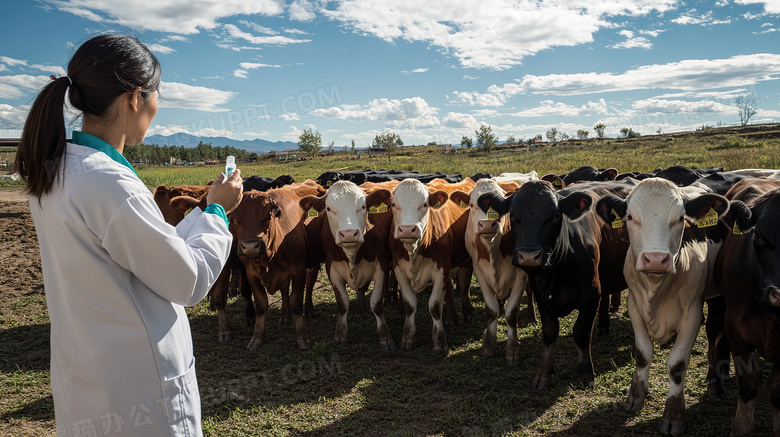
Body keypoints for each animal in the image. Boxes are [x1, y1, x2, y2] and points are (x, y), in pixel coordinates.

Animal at [596, 178, 732, 436]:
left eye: (681, 218)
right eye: (630, 217)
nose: (656, 259)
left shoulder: (692, 314)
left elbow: (677, 365)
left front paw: (674, 415)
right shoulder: (634, 306)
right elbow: (643, 354)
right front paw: (636, 396)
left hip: (718, 297)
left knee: (715, 334)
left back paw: (716, 383)